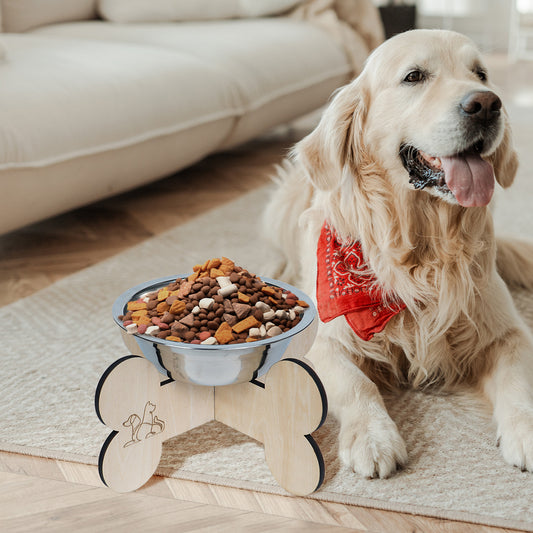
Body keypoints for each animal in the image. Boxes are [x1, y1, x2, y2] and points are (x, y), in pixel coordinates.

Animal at [264, 29, 532, 478]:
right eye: (414, 76)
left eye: (480, 73)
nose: (487, 104)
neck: (423, 251)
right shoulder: (322, 341)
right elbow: (357, 384)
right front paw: (373, 438)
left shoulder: (507, 331)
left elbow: (518, 380)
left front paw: (527, 431)